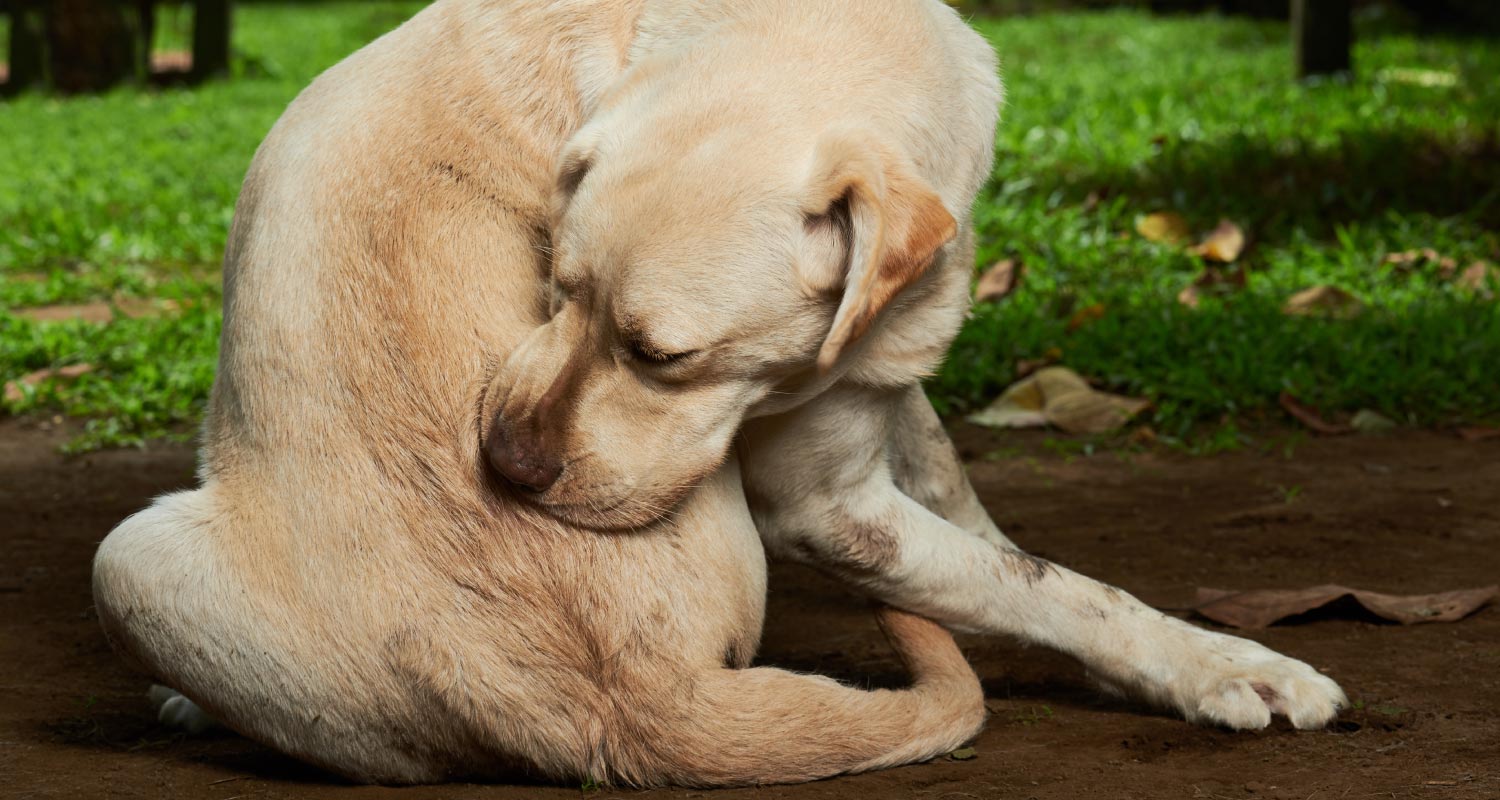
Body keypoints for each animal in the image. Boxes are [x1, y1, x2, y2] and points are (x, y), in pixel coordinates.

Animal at [90, 0, 1350, 786]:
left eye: (666, 356)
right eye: (554, 285)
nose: (502, 465)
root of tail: (630, 706)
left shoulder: (876, 396)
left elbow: (995, 535)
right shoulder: (827, 505)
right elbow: (1057, 584)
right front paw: (1223, 663)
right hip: (125, 557)